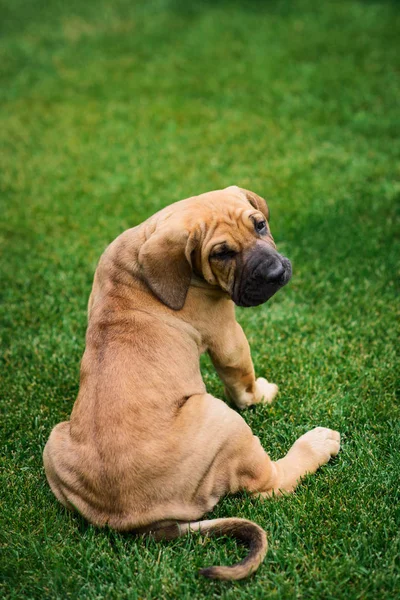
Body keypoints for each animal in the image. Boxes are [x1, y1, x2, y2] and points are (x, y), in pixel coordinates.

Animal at [43, 185, 340, 580]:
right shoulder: (226, 332)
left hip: (54, 442)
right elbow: (241, 377)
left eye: (260, 225)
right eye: (222, 253)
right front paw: (261, 393)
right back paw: (317, 443)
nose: (276, 272)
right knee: (270, 484)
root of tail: (134, 519)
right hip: (221, 418)